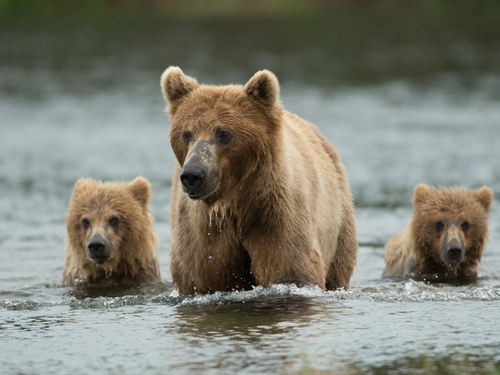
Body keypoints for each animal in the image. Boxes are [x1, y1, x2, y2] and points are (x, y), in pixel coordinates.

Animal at [159, 66, 356, 296]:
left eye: (224, 134)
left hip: (338, 218)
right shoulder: (202, 234)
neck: (234, 202)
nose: (193, 174)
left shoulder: (274, 212)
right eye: (186, 134)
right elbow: (201, 277)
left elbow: (291, 269)